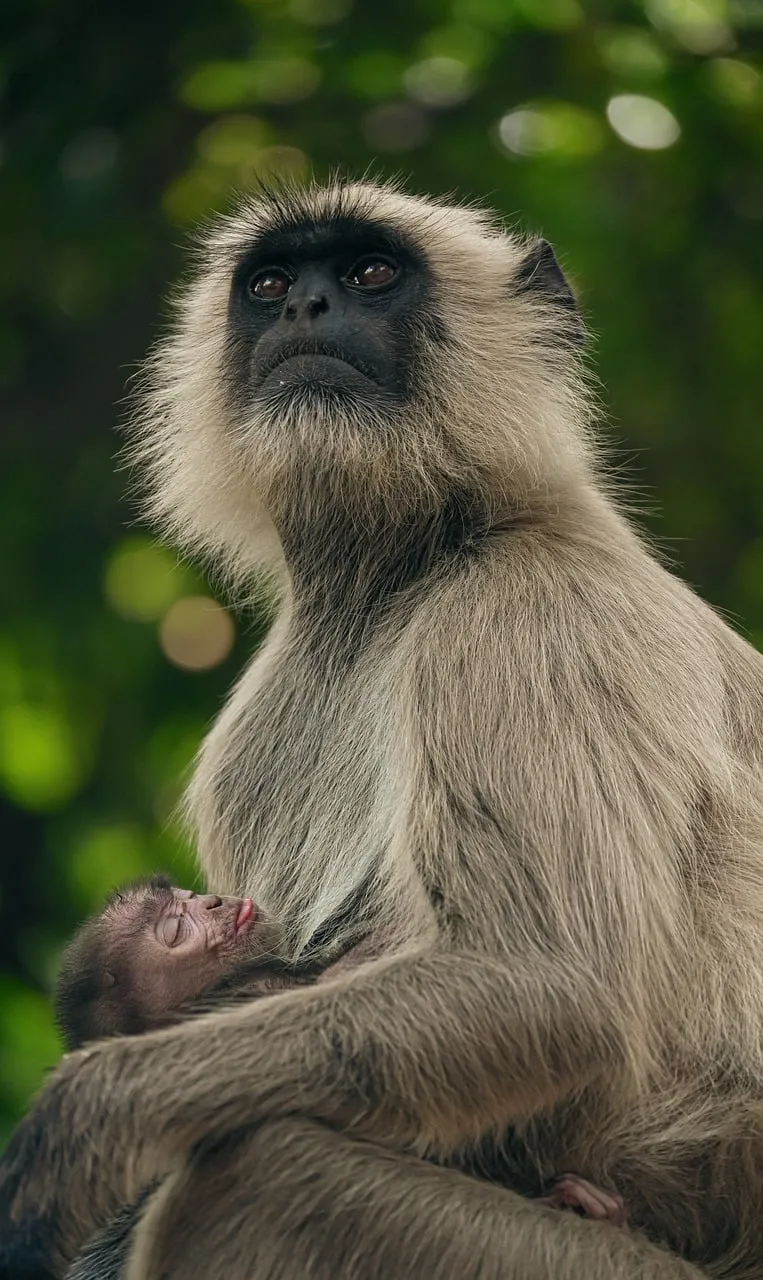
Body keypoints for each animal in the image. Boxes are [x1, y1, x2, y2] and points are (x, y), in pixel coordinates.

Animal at [1, 177, 763, 1280]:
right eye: (269, 285)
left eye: (368, 273)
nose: (305, 310)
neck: (401, 569)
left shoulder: (528, 610)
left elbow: (547, 984)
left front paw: (86, 1123)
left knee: (258, 1172)